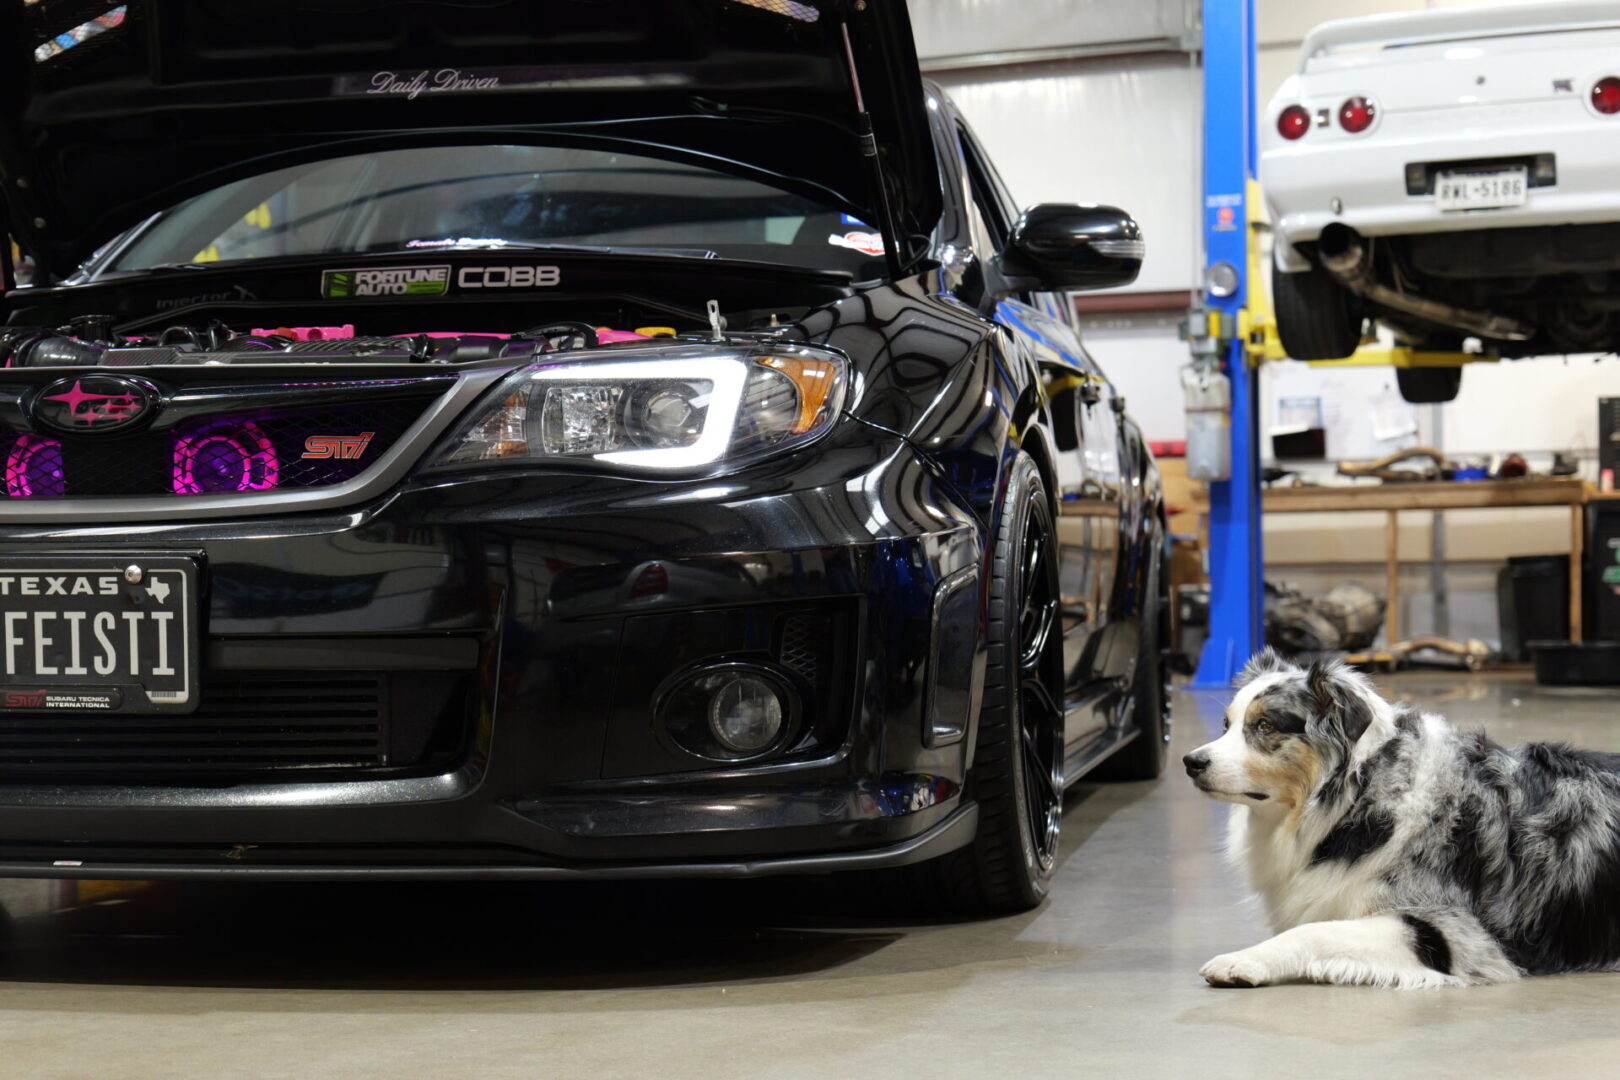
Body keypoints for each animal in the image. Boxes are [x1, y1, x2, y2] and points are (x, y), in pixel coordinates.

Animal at [1185, 650, 1620, 990]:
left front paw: (1244, 960)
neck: (1361, 796)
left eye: (1264, 726)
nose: (1191, 762)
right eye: (1226, 725)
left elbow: (1313, 930)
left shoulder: (1447, 927)